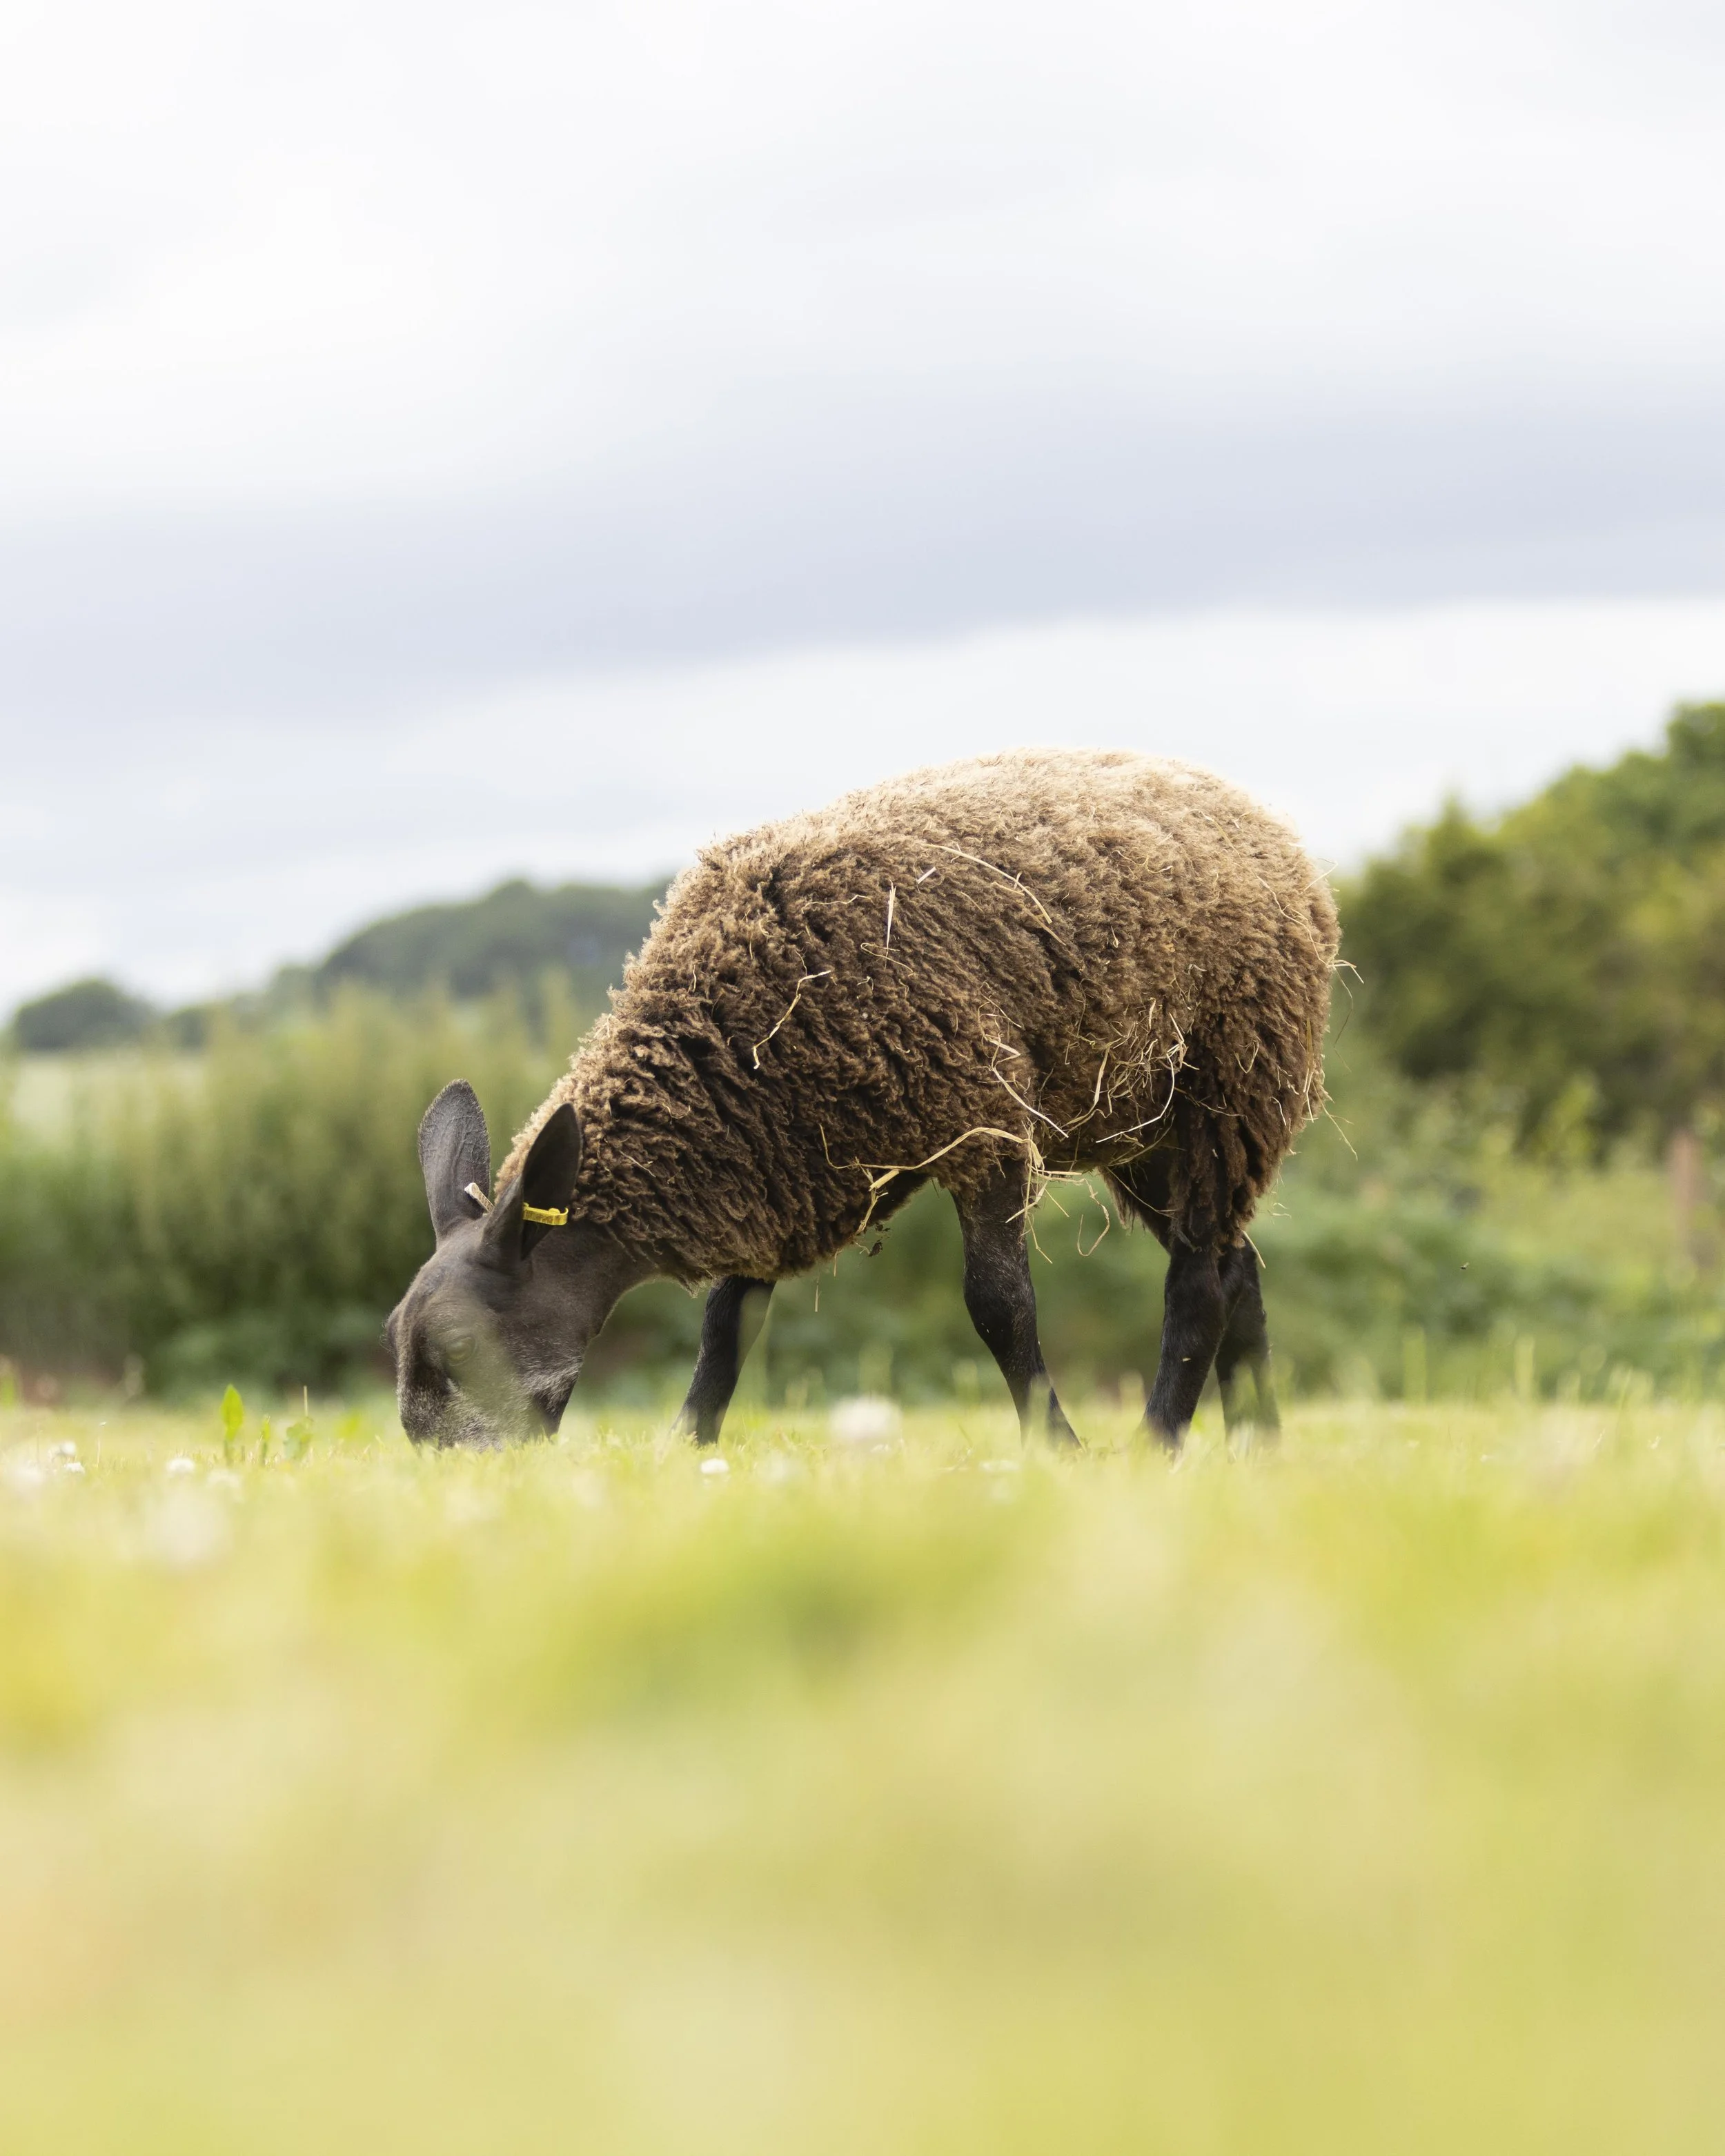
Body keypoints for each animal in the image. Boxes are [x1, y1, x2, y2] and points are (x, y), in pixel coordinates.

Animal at [388, 749, 1339, 1449]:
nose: (453, 1476)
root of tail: (1261, 819)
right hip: (1148, 1130)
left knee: (1199, 1283)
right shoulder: (774, 1160)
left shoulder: (981, 1123)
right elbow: (728, 1324)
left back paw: (1157, 1445)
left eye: (459, 1347)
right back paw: (1256, 1447)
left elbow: (1000, 1307)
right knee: (1236, 1267)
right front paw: (687, 1451)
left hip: (1230, 1091)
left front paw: (1056, 1449)